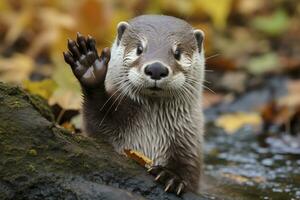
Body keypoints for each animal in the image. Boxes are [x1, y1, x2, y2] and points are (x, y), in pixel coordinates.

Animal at [62, 14, 205, 195]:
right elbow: (96, 118)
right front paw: (89, 66)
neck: (150, 133)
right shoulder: (102, 131)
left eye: (177, 53)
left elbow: (189, 170)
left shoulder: (188, 143)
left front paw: (172, 177)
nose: (156, 68)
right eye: (139, 48)